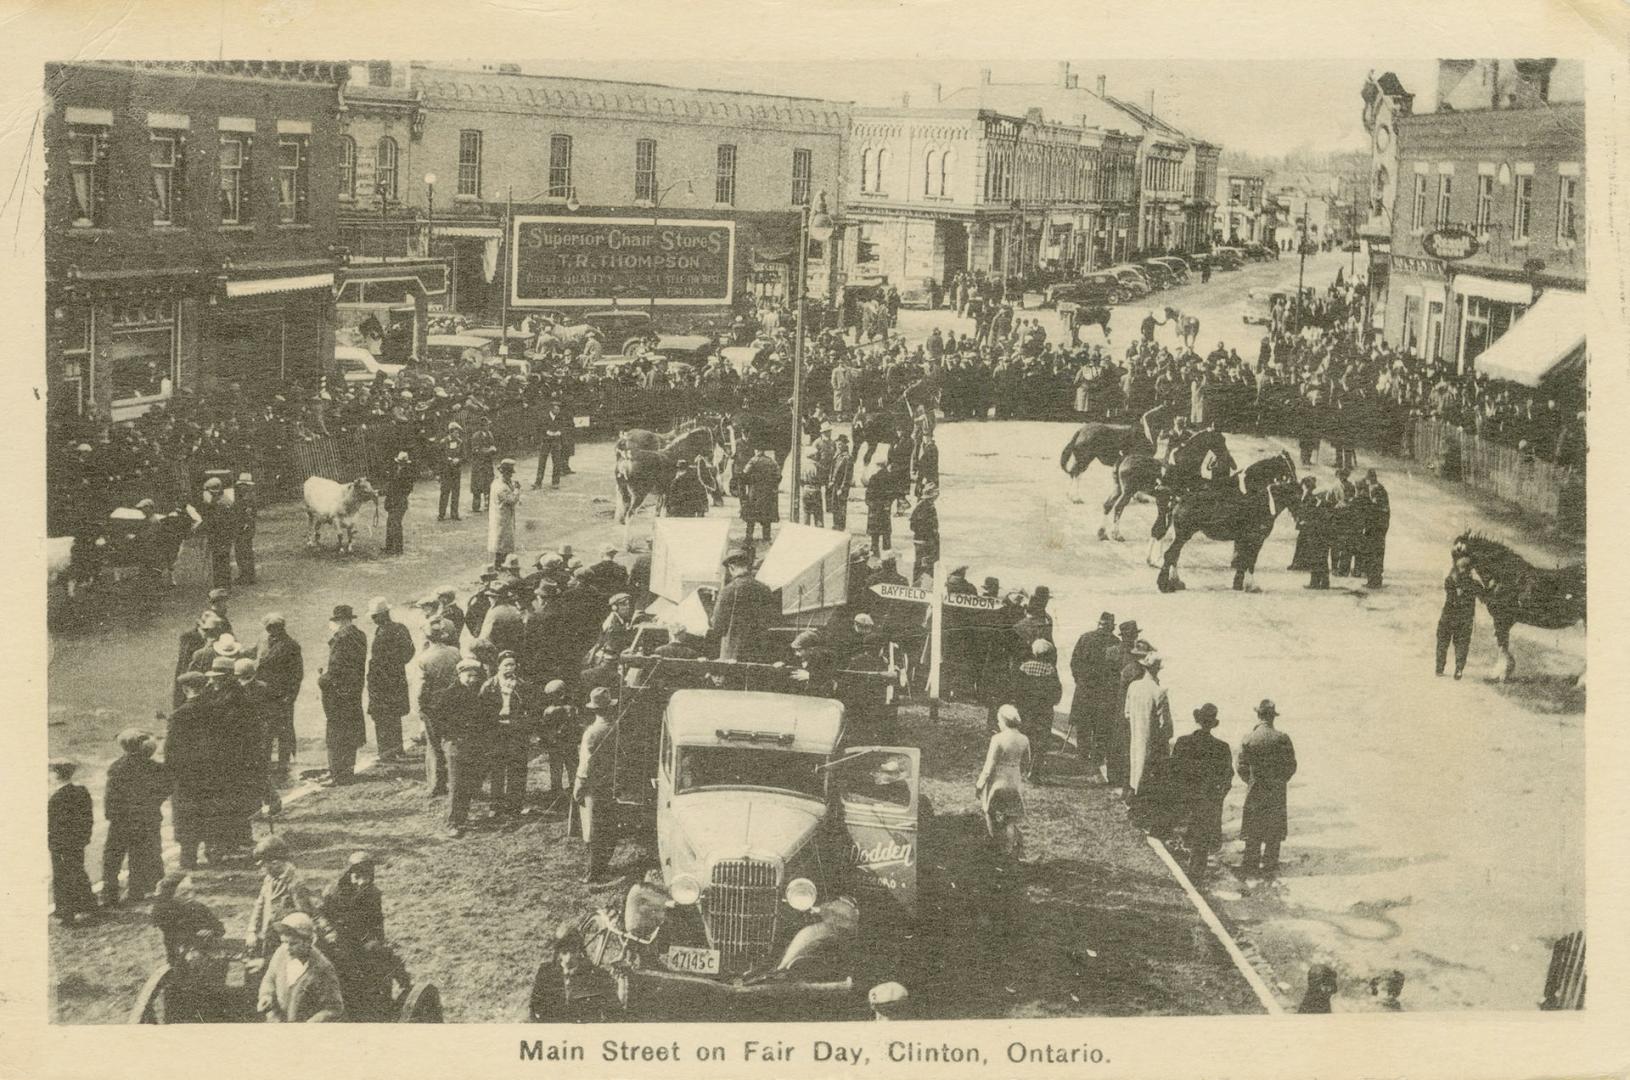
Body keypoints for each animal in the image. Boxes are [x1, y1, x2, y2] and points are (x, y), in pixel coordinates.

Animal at [1154, 456, 1304, 592]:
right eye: (1289, 468)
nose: (1300, 518)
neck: (1263, 502)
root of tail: (1180, 498)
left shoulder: (1245, 539)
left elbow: (1243, 561)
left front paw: (1238, 584)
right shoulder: (1256, 539)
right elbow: (1250, 561)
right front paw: (1251, 586)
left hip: (1180, 535)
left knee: (1174, 556)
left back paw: (1175, 583)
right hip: (1184, 534)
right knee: (1170, 555)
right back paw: (1165, 585)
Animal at [1453, 531, 1577, 684]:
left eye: (1459, 554)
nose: (1454, 581)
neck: (1508, 577)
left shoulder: (1502, 619)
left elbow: (1503, 646)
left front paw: (1500, 674)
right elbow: (1503, 646)